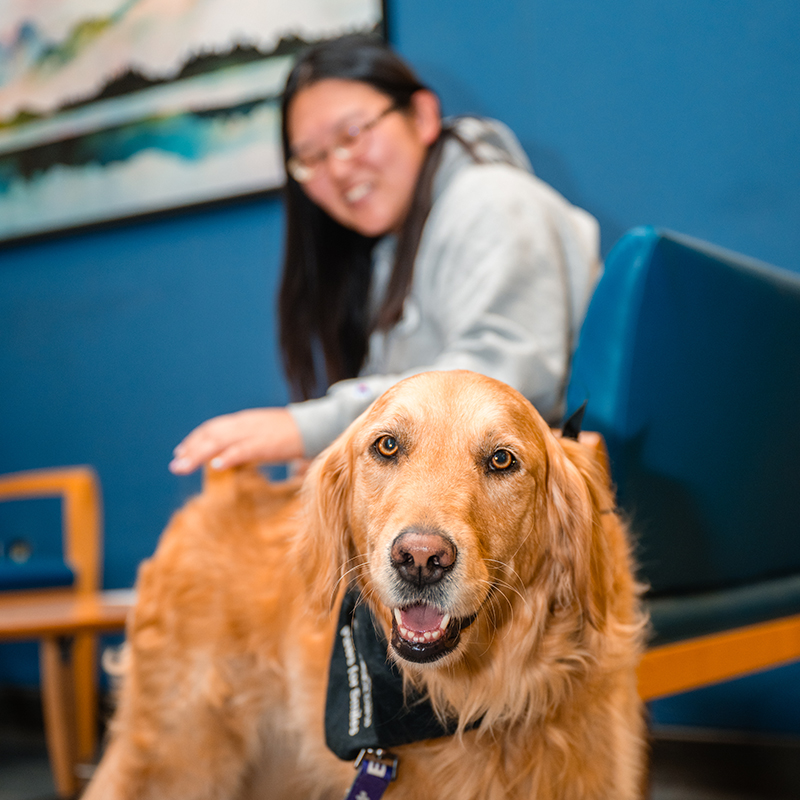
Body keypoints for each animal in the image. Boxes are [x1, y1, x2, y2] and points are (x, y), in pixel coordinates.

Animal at [84, 372, 648, 796]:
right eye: (387, 446)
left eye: (502, 459)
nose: (420, 559)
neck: (477, 698)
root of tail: (223, 490)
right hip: (176, 751)